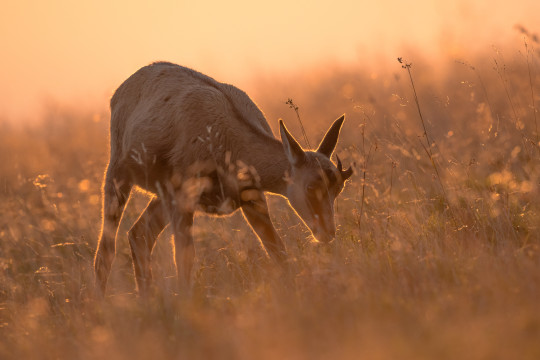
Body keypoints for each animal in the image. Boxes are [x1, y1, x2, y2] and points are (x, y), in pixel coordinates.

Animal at [94, 62, 352, 296]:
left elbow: (276, 248)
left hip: (162, 197)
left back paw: (145, 299)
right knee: (107, 248)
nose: (327, 233)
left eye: (338, 188)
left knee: (139, 235)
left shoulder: (252, 201)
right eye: (311, 186)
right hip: (119, 176)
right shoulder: (184, 200)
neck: (228, 136)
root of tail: (122, 90)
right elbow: (184, 256)